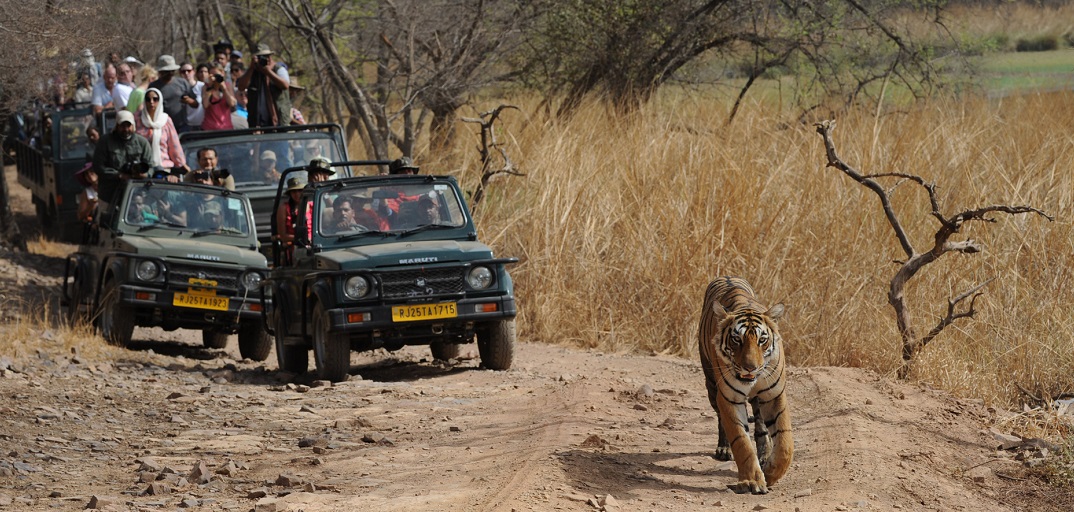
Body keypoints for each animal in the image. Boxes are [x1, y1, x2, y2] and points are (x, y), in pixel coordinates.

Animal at [700, 274, 794, 495]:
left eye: (762, 340)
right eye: (736, 340)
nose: (750, 367)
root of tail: (727, 275)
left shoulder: (774, 395)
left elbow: (785, 443)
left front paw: (770, 473)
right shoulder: (729, 398)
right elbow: (741, 441)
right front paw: (752, 481)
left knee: (761, 426)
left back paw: (765, 453)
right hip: (711, 384)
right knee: (721, 419)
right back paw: (724, 449)